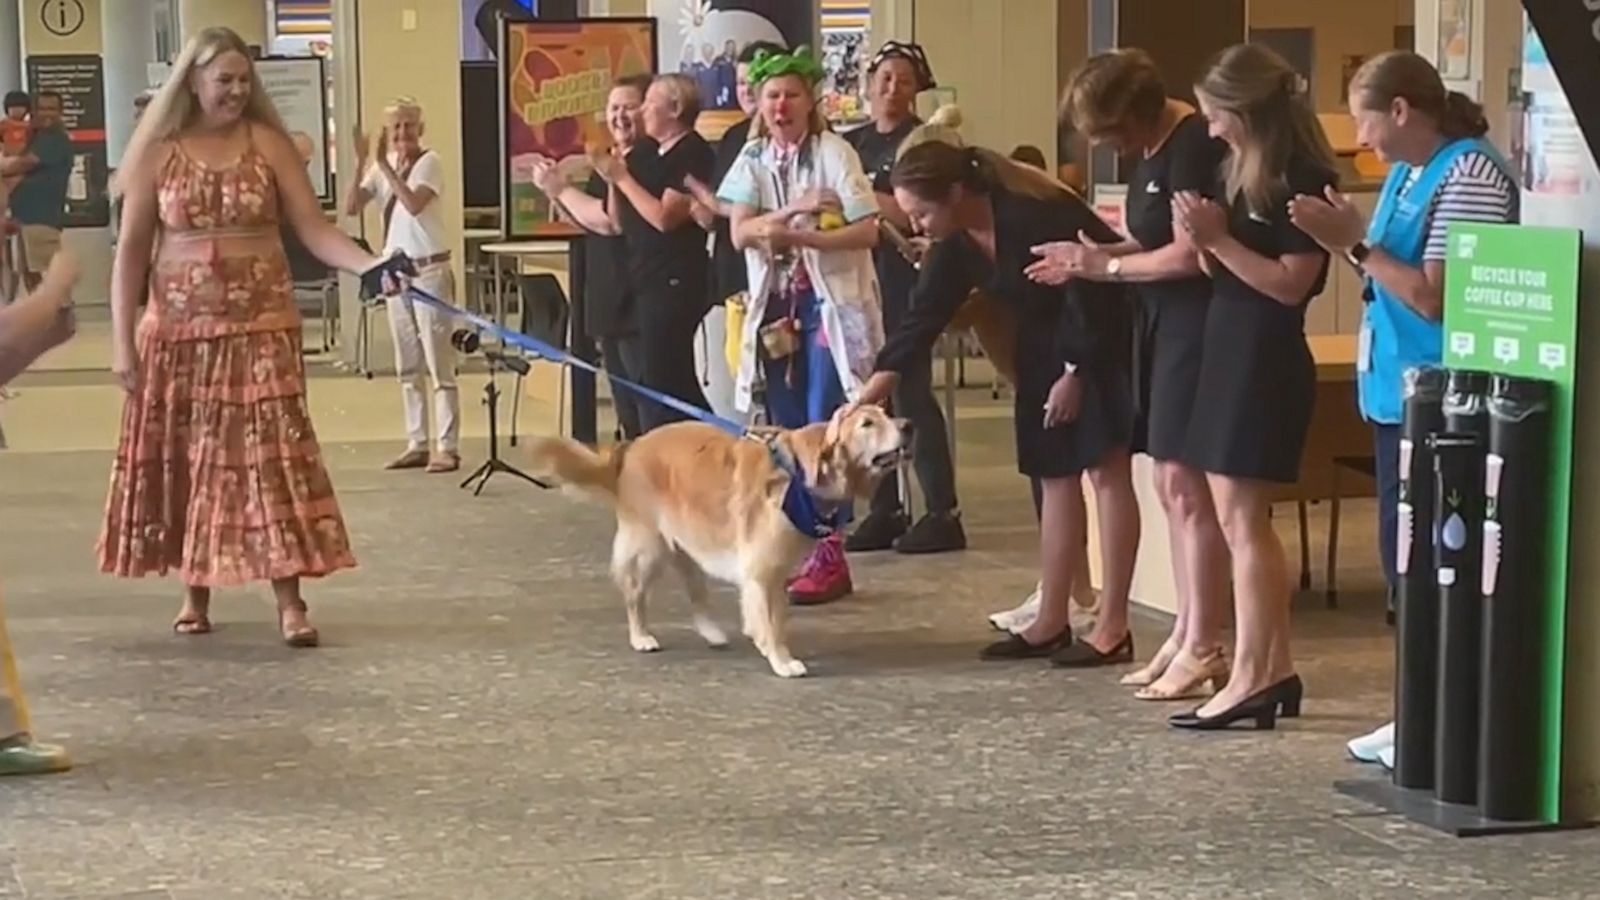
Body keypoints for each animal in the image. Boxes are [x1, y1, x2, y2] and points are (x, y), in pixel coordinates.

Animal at [531, 405, 908, 672]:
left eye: (885, 413)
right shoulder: (761, 571)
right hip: (650, 547)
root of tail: (630, 451)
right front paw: (782, 660)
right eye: (867, 423)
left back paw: (711, 632)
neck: (797, 477)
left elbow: (777, 617)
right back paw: (641, 636)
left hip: (689, 543)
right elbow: (769, 622)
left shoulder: (775, 572)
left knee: (695, 591)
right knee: (634, 594)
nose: (907, 424)